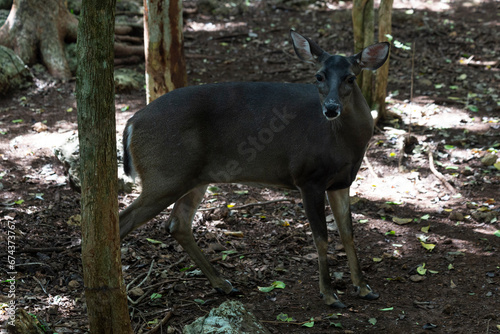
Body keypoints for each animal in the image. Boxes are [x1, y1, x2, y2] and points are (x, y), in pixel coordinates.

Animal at [120, 31, 390, 308]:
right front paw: (329, 294)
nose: (331, 108)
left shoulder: (341, 182)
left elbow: (348, 233)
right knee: (124, 221)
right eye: (319, 76)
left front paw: (364, 287)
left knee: (177, 223)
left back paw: (224, 285)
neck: (342, 141)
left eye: (351, 77)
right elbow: (321, 237)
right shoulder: (308, 178)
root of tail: (131, 122)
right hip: (164, 175)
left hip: (194, 178)